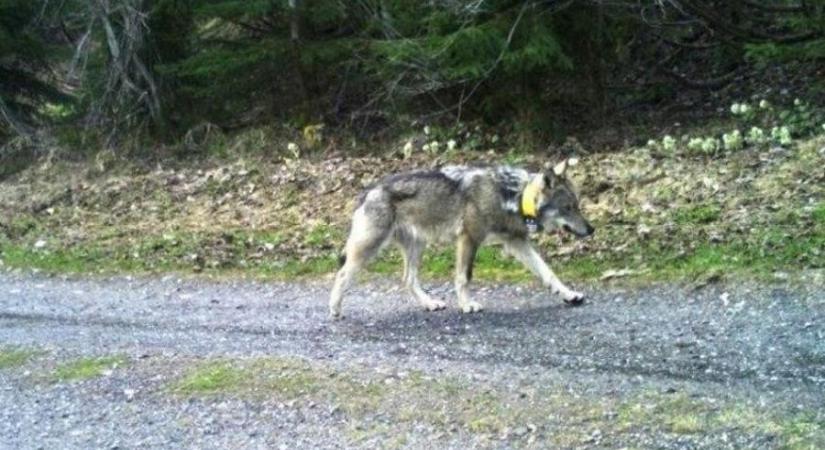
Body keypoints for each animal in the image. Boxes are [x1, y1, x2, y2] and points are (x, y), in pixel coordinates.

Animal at [328, 160, 592, 318]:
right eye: (568, 208)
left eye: (577, 206)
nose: (591, 230)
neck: (511, 195)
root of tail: (368, 190)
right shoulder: (469, 239)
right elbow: (464, 278)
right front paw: (467, 305)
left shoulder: (517, 242)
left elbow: (548, 272)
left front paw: (569, 294)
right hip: (370, 248)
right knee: (342, 274)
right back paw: (335, 309)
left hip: (417, 247)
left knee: (408, 280)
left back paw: (429, 304)